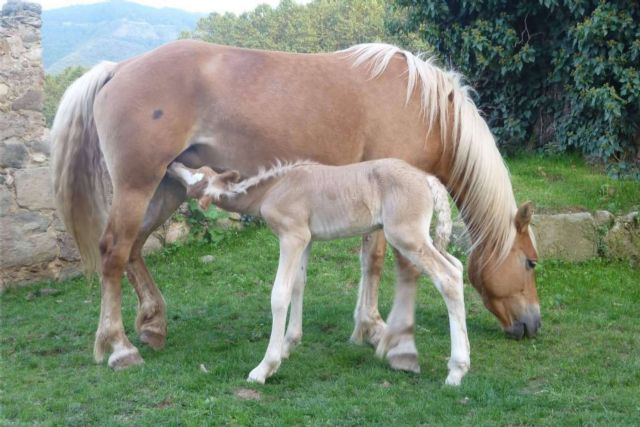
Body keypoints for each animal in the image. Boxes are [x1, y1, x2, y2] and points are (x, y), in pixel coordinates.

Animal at [169, 159, 470, 386]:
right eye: (200, 167)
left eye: (195, 178)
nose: (174, 164)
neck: (273, 189)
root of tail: (428, 179)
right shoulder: (307, 238)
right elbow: (298, 284)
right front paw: (289, 345)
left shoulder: (292, 236)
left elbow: (279, 295)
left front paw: (265, 367)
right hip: (419, 236)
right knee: (456, 265)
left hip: (405, 235)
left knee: (448, 277)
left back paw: (456, 371)